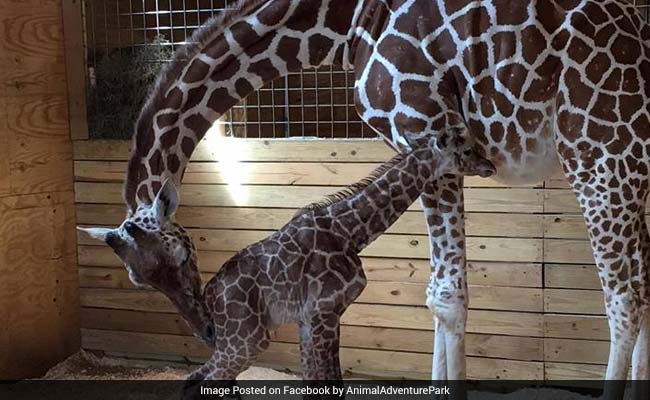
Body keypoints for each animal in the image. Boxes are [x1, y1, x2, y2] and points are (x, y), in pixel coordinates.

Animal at [80, 134, 495, 389]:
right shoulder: (324, 309)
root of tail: (211, 302)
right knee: (201, 380)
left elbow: (318, 378)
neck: (351, 232)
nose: (490, 165)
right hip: (246, 340)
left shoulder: (311, 317)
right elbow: (327, 380)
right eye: (465, 150)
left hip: (240, 340)